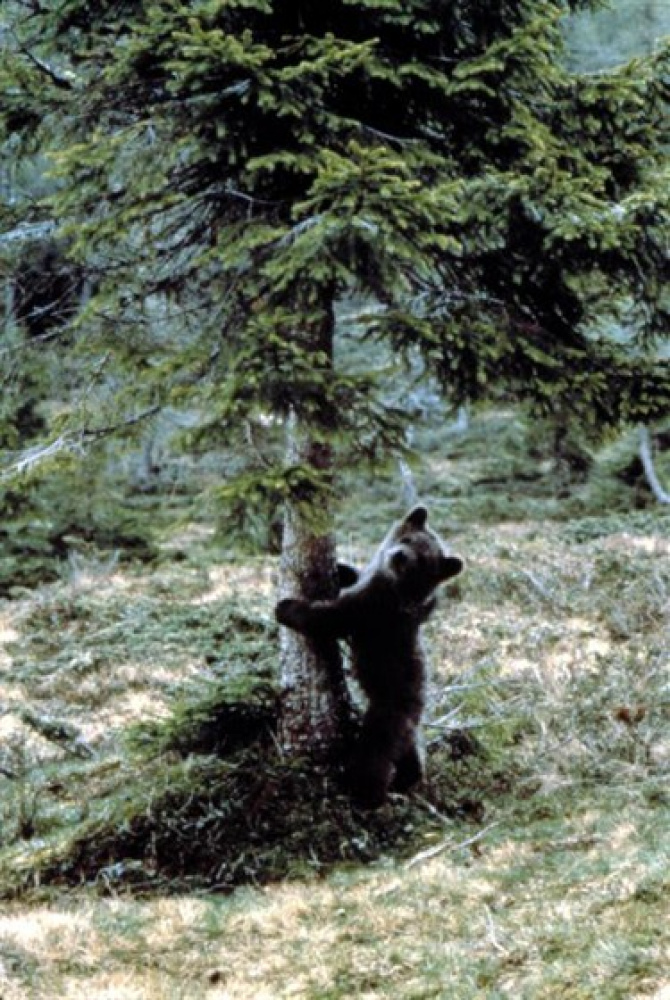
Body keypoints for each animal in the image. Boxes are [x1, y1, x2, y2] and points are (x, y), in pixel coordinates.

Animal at [275, 505, 463, 808]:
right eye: (408, 539)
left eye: (423, 559)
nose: (399, 556)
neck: (391, 583)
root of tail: (417, 711)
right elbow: (354, 577)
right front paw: (342, 568)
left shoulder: (372, 610)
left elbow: (331, 617)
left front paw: (285, 607)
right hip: (407, 729)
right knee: (411, 754)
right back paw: (406, 781)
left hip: (386, 715)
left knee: (373, 757)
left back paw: (364, 794)